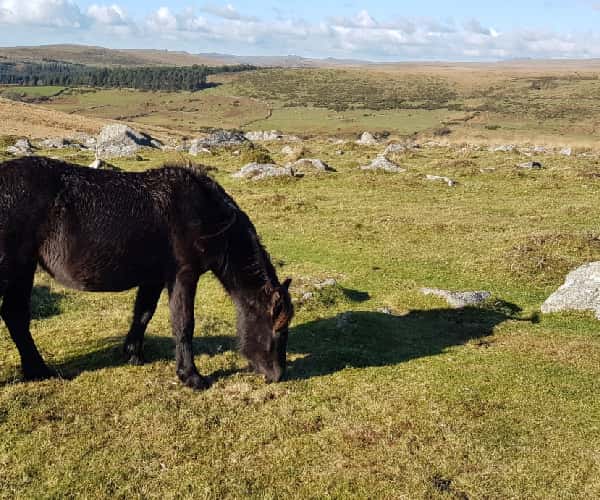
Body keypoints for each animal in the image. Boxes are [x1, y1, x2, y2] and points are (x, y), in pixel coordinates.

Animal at [0, 158, 292, 388]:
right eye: (278, 329)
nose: (277, 375)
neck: (205, 212)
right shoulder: (184, 275)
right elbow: (184, 323)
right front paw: (192, 377)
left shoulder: (154, 279)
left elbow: (143, 314)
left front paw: (133, 355)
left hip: (23, 269)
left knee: (15, 316)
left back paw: (38, 371)